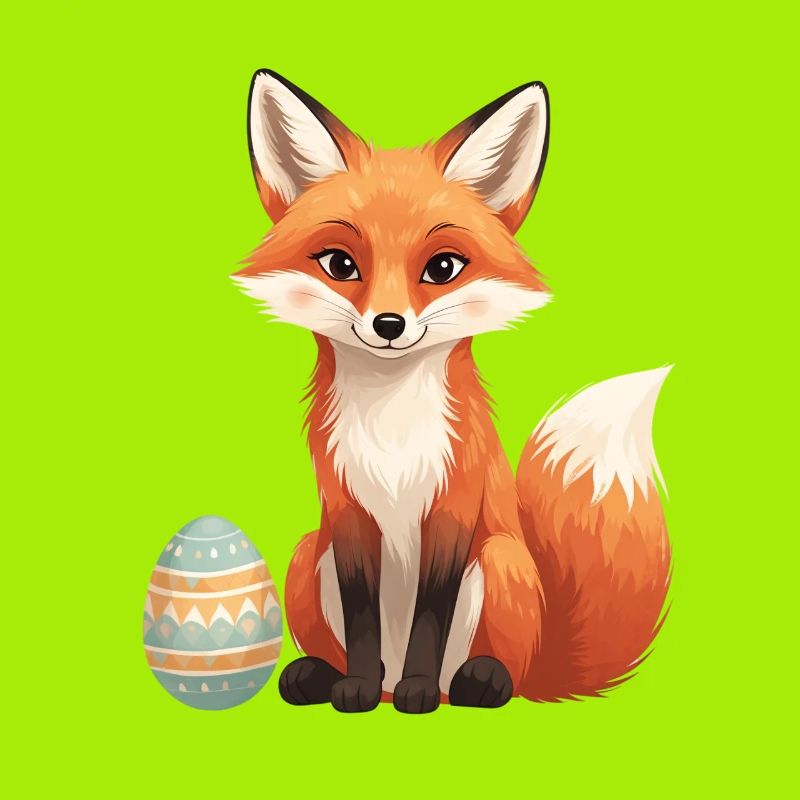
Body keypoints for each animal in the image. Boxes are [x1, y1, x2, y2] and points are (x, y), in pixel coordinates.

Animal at [233, 70, 671, 713]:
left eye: (442, 268)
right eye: (339, 264)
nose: (389, 325)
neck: (391, 426)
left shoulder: (453, 505)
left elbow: (430, 617)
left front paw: (417, 687)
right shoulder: (346, 510)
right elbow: (362, 619)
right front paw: (352, 688)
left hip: (501, 562)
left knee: (490, 671)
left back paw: (468, 683)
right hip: (306, 554)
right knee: (350, 651)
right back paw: (329, 677)